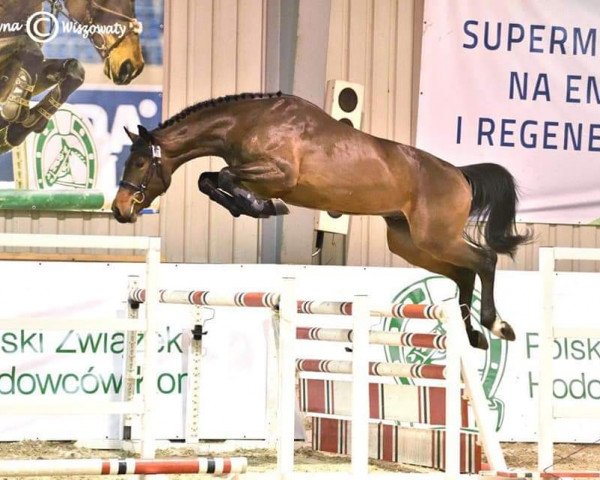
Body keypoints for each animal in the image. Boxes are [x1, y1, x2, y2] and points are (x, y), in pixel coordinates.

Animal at [112, 91, 528, 348]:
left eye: (141, 162)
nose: (120, 209)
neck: (246, 122)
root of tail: (460, 174)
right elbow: (208, 179)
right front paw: (251, 205)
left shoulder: (279, 174)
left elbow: (226, 177)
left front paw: (265, 207)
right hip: (410, 243)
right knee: (464, 273)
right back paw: (474, 335)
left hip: (434, 237)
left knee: (484, 260)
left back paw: (497, 325)